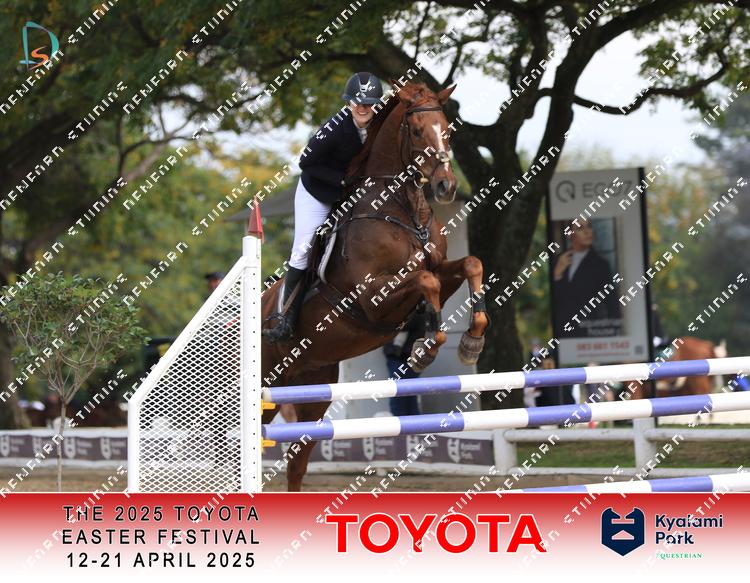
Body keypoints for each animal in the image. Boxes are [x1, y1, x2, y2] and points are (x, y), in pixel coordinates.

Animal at [260, 80, 490, 490]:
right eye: (416, 131)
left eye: (446, 129)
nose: (446, 186)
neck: (401, 207)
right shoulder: (371, 298)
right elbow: (425, 281)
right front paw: (425, 348)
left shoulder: (442, 271)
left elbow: (469, 264)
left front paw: (471, 341)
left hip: (309, 388)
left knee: (296, 462)